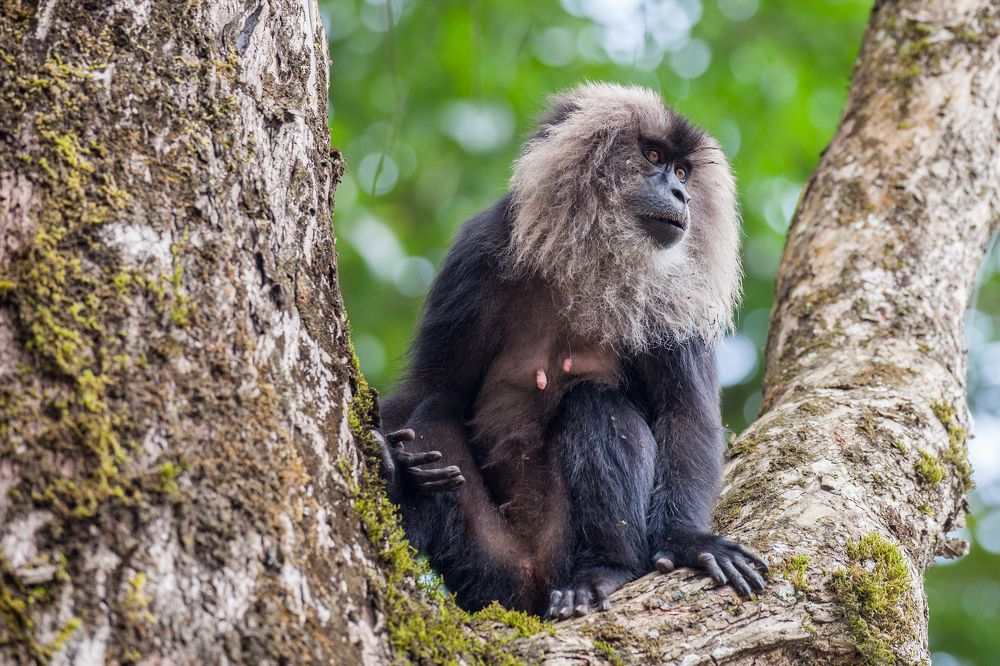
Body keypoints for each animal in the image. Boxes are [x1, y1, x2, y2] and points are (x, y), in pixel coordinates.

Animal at [373, 82, 767, 619]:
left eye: (683, 172)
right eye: (653, 156)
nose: (681, 193)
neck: (590, 268)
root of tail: (536, 584)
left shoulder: (677, 296)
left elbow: (686, 413)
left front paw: (688, 540)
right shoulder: (477, 252)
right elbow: (428, 386)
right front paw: (393, 463)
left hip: (561, 547)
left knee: (594, 403)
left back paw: (603, 572)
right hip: (493, 569)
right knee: (434, 412)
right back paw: (405, 478)